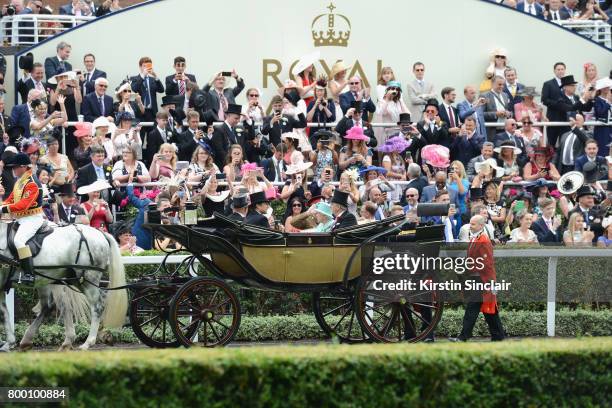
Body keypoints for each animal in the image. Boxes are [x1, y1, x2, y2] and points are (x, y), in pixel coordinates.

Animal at [0, 222, 126, 352]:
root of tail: (101, 233)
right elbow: (4, 312)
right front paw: (8, 343)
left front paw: (8, 342)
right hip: (65, 280)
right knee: (51, 306)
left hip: (88, 280)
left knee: (96, 308)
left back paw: (87, 342)